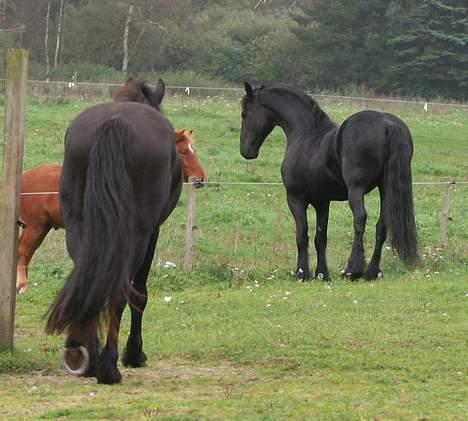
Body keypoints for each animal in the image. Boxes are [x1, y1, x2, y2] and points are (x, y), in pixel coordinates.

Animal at [18, 128, 205, 292]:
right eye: (183, 151)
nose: (201, 178)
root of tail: (23, 178)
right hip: (34, 227)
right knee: (22, 251)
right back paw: (22, 285)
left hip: (42, 227)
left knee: (28, 253)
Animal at [44, 79, 182, 384]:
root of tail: (115, 122)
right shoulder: (153, 232)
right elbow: (139, 292)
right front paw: (134, 353)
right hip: (138, 235)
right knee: (121, 289)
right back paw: (108, 366)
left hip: (78, 225)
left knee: (88, 278)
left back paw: (82, 355)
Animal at [241, 81, 416, 278]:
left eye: (245, 114)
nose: (246, 151)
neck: (305, 134)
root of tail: (388, 124)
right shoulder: (322, 202)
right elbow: (321, 238)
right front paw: (322, 274)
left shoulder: (295, 198)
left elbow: (302, 235)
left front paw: (302, 273)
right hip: (385, 188)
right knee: (382, 226)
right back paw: (371, 272)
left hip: (356, 190)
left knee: (360, 219)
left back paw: (352, 270)